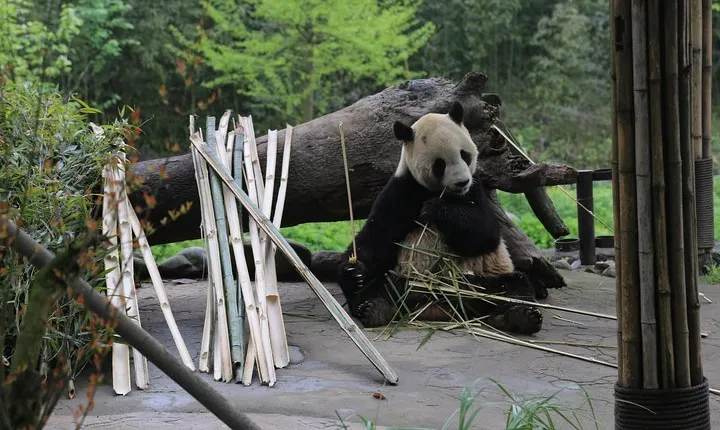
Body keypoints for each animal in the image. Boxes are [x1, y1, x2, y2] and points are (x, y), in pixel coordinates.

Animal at [336, 101, 543, 335]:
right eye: (440, 164)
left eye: (465, 155)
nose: (462, 182)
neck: (441, 192)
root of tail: (438, 308)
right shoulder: (402, 191)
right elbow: (377, 237)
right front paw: (353, 272)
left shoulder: (475, 190)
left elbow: (485, 233)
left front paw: (435, 208)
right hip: (410, 282)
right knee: (378, 288)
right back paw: (374, 308)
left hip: (484, 281)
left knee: (514, 287)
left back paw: (520, 316)